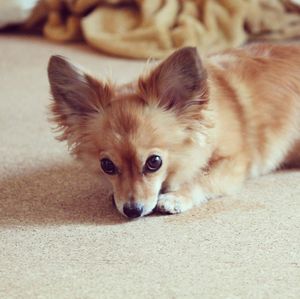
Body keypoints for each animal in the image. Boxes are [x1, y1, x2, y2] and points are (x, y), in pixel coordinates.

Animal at [47, 43, 300, 219]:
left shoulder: (236, 162)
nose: (132, 210)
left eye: (154, 162)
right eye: (107, 166)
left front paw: (176, 197)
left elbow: (204, 178)